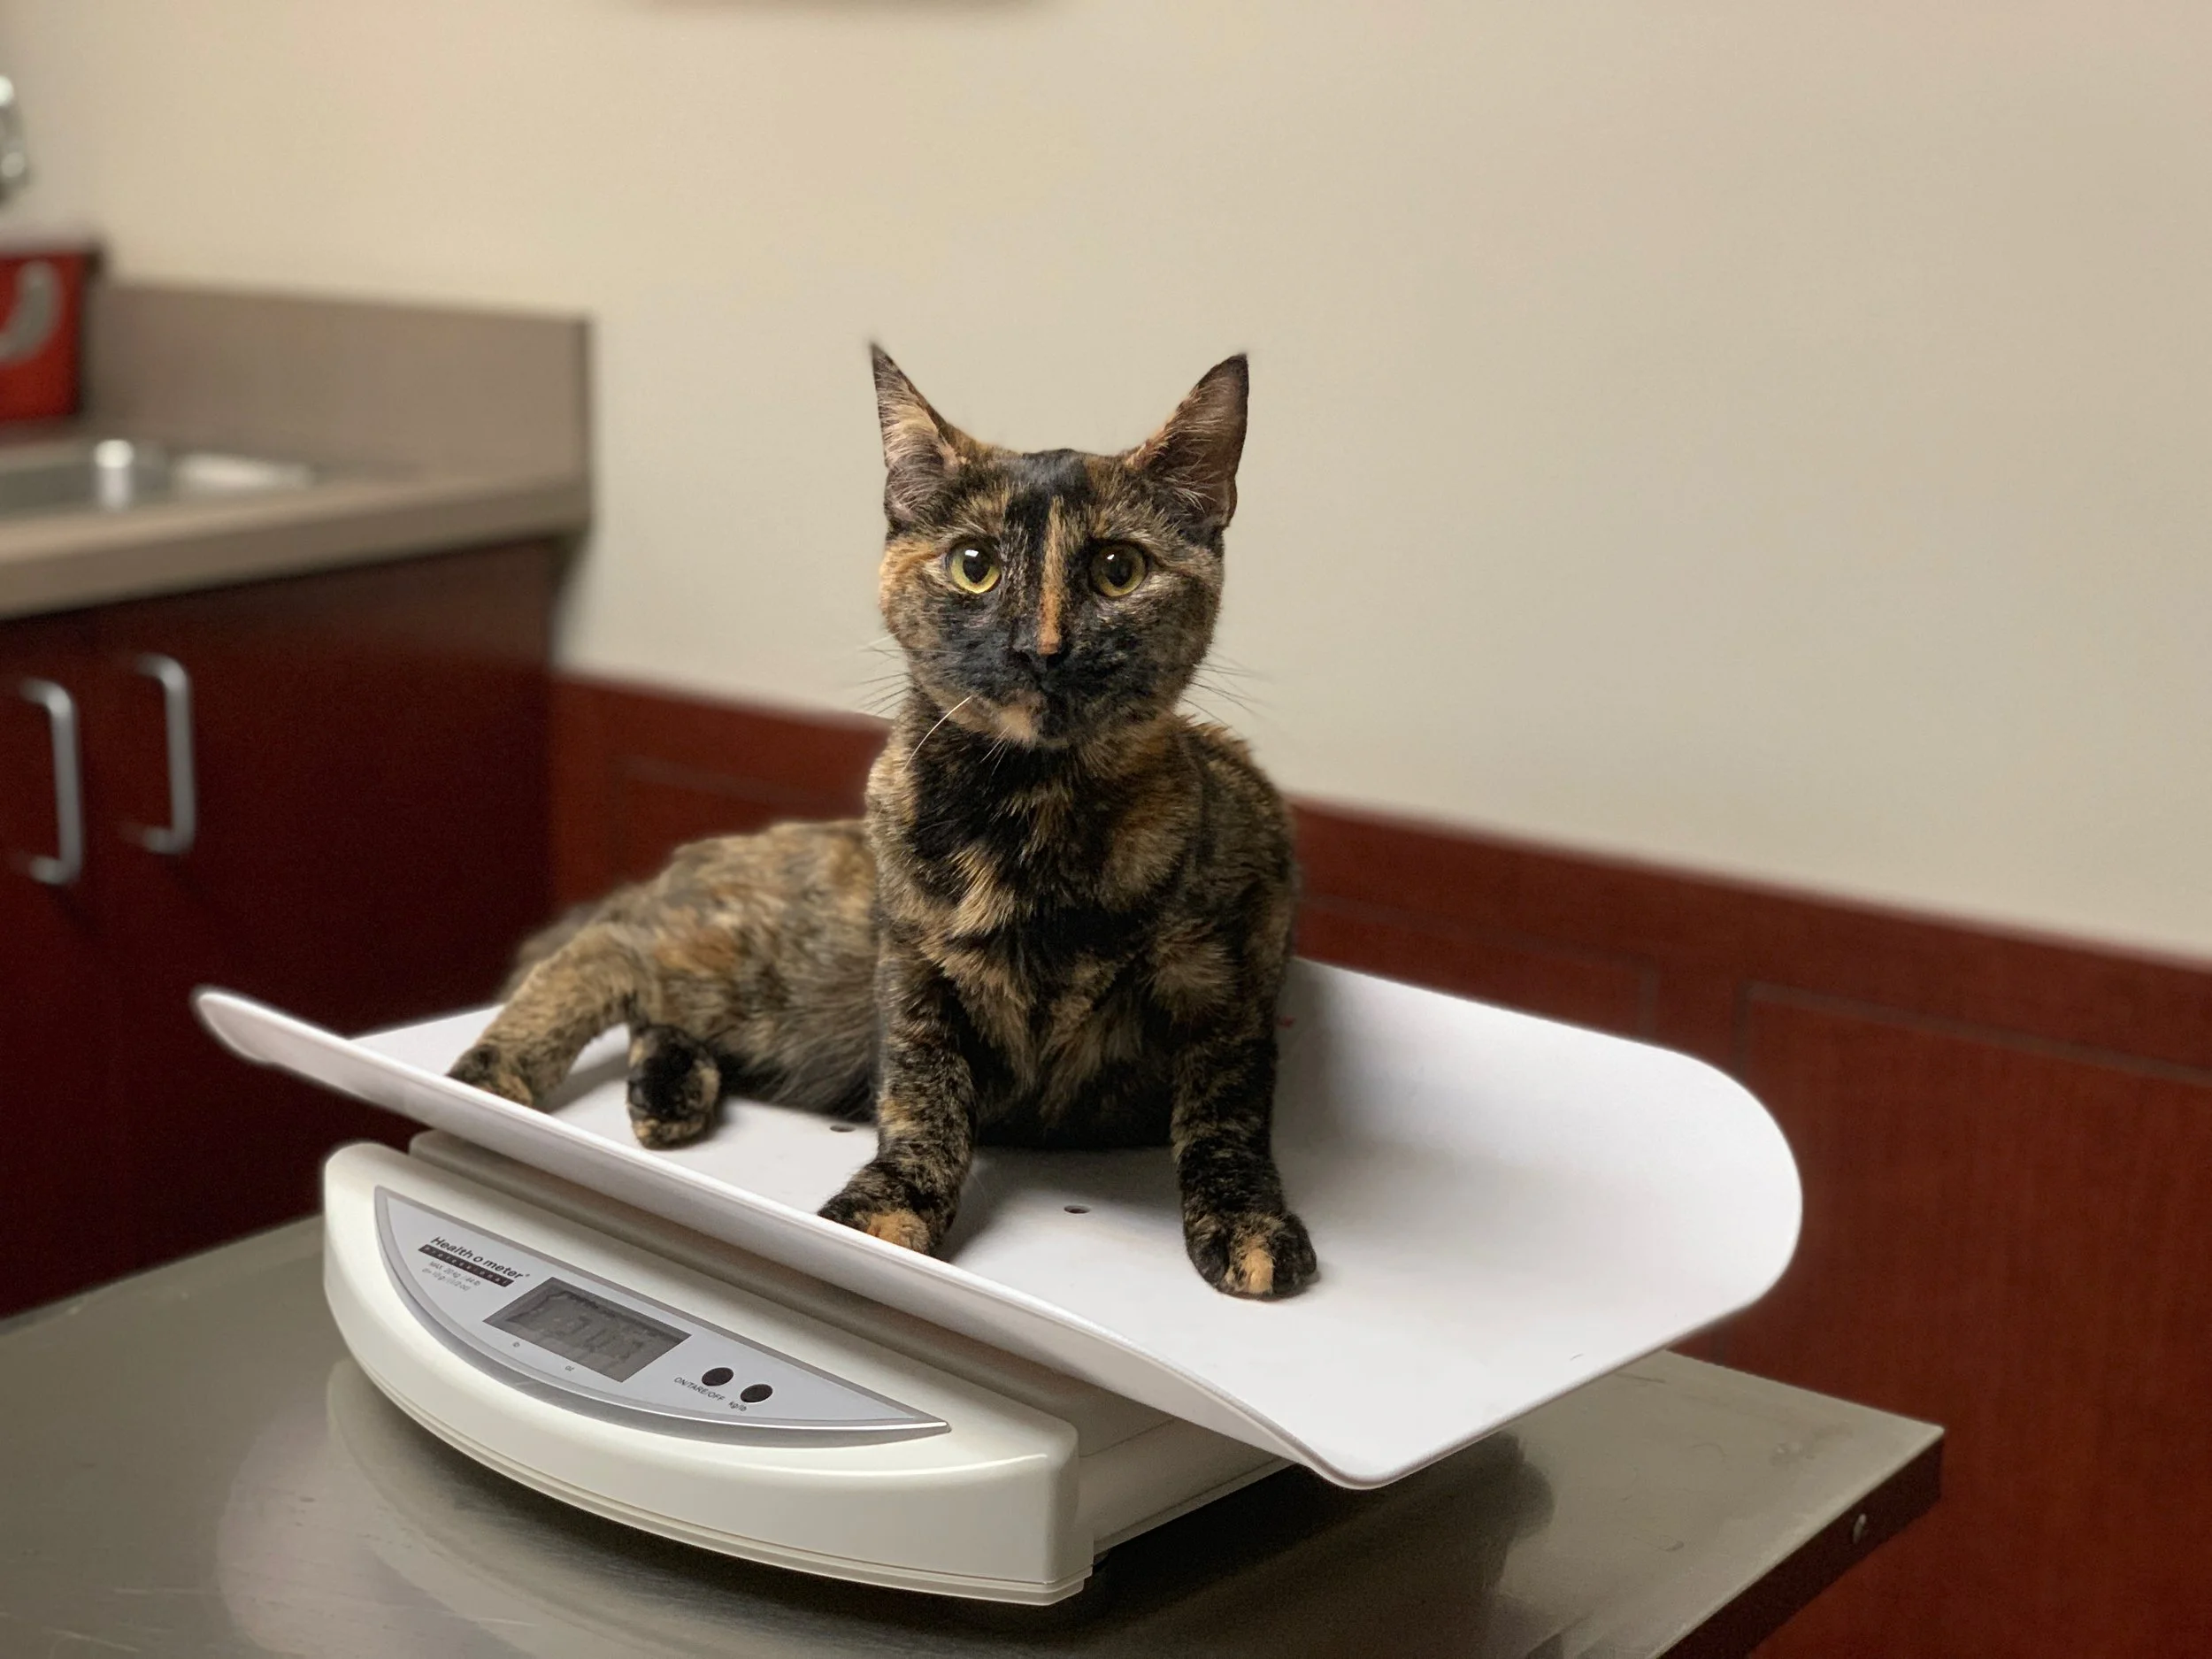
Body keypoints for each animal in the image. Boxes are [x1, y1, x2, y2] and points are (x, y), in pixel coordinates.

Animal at [450, 348, 1316, 1298]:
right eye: (974, 564)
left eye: (1118, 570)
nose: (1040, 648)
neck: (1029, 816)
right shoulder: (911, 967)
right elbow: (922, 1092)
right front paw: (890, 1213)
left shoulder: (1228, 980)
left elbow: (1225, 1116)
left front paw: (1248, 1220)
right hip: (770, 969)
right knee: (608, 952)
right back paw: (492, 1074)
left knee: (646, 997)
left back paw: (666, 1093)